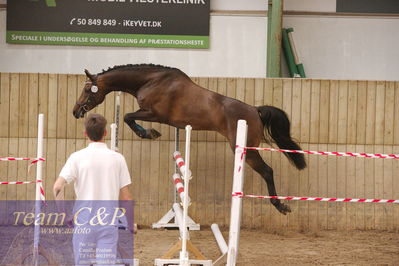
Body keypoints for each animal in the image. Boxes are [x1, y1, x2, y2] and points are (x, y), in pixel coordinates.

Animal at [73, 64, 308, 214]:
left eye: (87, 89)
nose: (75, 111)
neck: (151, 80)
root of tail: (255, 110)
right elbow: (128, 117)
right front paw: (149, 133)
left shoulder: (155, 114)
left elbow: (128, 117)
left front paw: (148, 133)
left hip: (246, 150)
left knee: (267, 171)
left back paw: (280, 206)